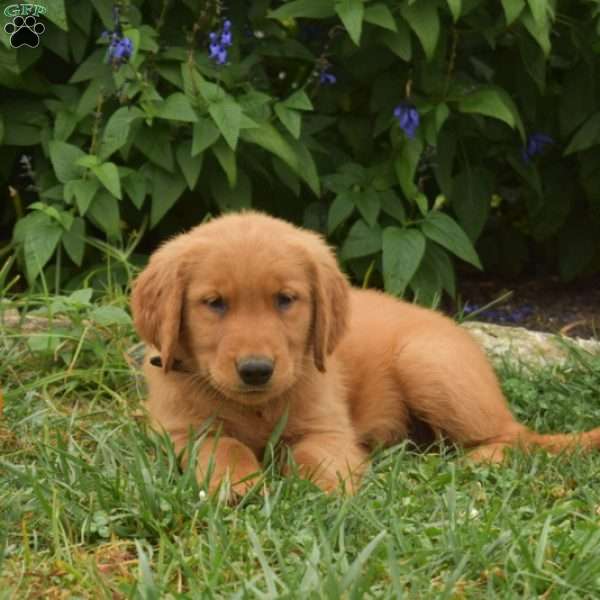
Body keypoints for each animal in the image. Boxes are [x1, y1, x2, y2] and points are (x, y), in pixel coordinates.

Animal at [131, 213, 600, 494]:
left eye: (285, 300)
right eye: (214, 303)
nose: (256, 370)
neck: (256, 407)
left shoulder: (330, 428)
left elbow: (313, 455)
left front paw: (324, 490)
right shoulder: (182, 431)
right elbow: (222, 446)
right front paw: (239, 485)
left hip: (426, 361)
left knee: (514, 437)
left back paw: (470, 461)